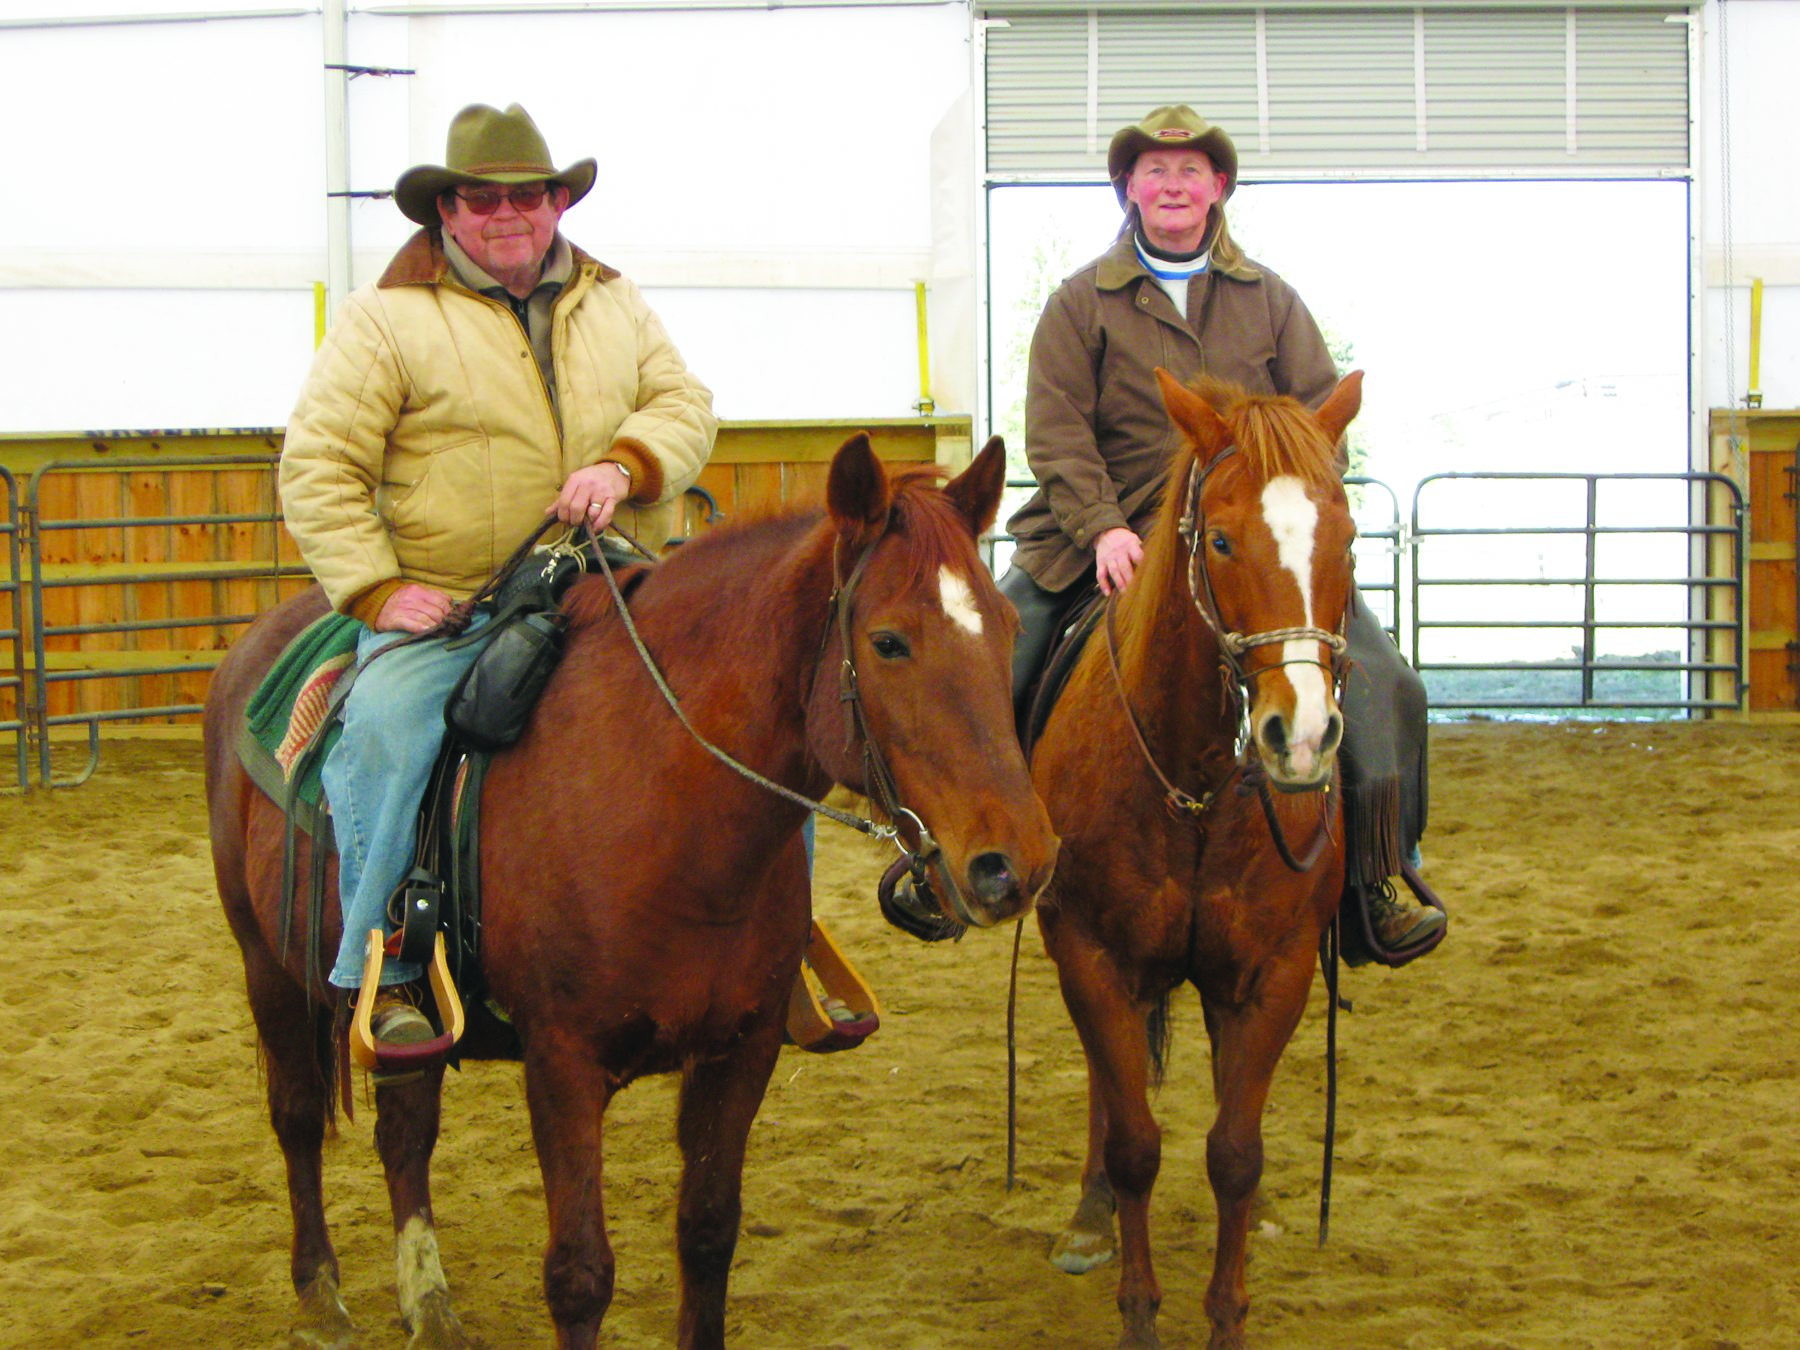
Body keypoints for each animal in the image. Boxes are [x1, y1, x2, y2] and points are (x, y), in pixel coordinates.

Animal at [206, 435, 1058, 1350]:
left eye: (1009, 628)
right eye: (890, 641)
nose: (1016, 862)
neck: (661, 809)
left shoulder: (740, 1053)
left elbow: (709, 1234)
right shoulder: (563, 1063)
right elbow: (580, 1275)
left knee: (406, 1131)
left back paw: (428, 1303)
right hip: (264, 965)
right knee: (298, 1115)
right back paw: (321, 1293)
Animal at [1029, 372, 1360, 1350]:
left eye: (1347, 539)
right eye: (1219, 539)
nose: (1302, 737)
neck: (1198, 784)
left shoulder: (1275, 972)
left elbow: (1234, 1153)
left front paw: (1228, 1312)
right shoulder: (1093, 958)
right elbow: (1136, 1141)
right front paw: (1138, 1308)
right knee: (1112, 1094)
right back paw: (1090, 1216)